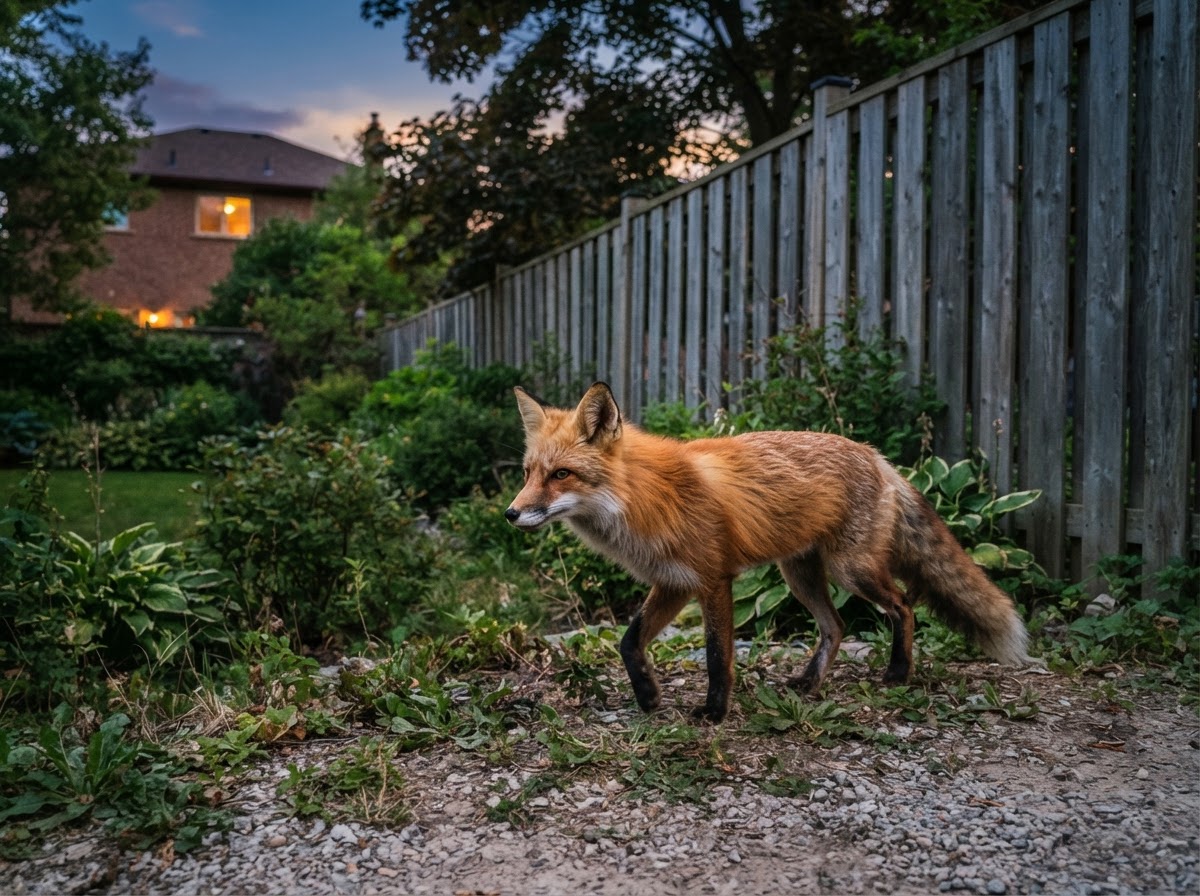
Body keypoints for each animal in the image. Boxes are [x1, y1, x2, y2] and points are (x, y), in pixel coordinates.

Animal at [505, 382, 1035, 723]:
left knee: (904, 606)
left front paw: (714, 712)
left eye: (562, 475)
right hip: (798, 576)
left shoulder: (713, 579)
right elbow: (629, 642)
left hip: (851, 571)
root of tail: (877, 456)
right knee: (836, 626)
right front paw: (650, 697)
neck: (644, 497)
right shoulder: (674, 582)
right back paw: (809, 683)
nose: (511, 514)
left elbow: (717, 655)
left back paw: (898, 673)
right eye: (529, 473)